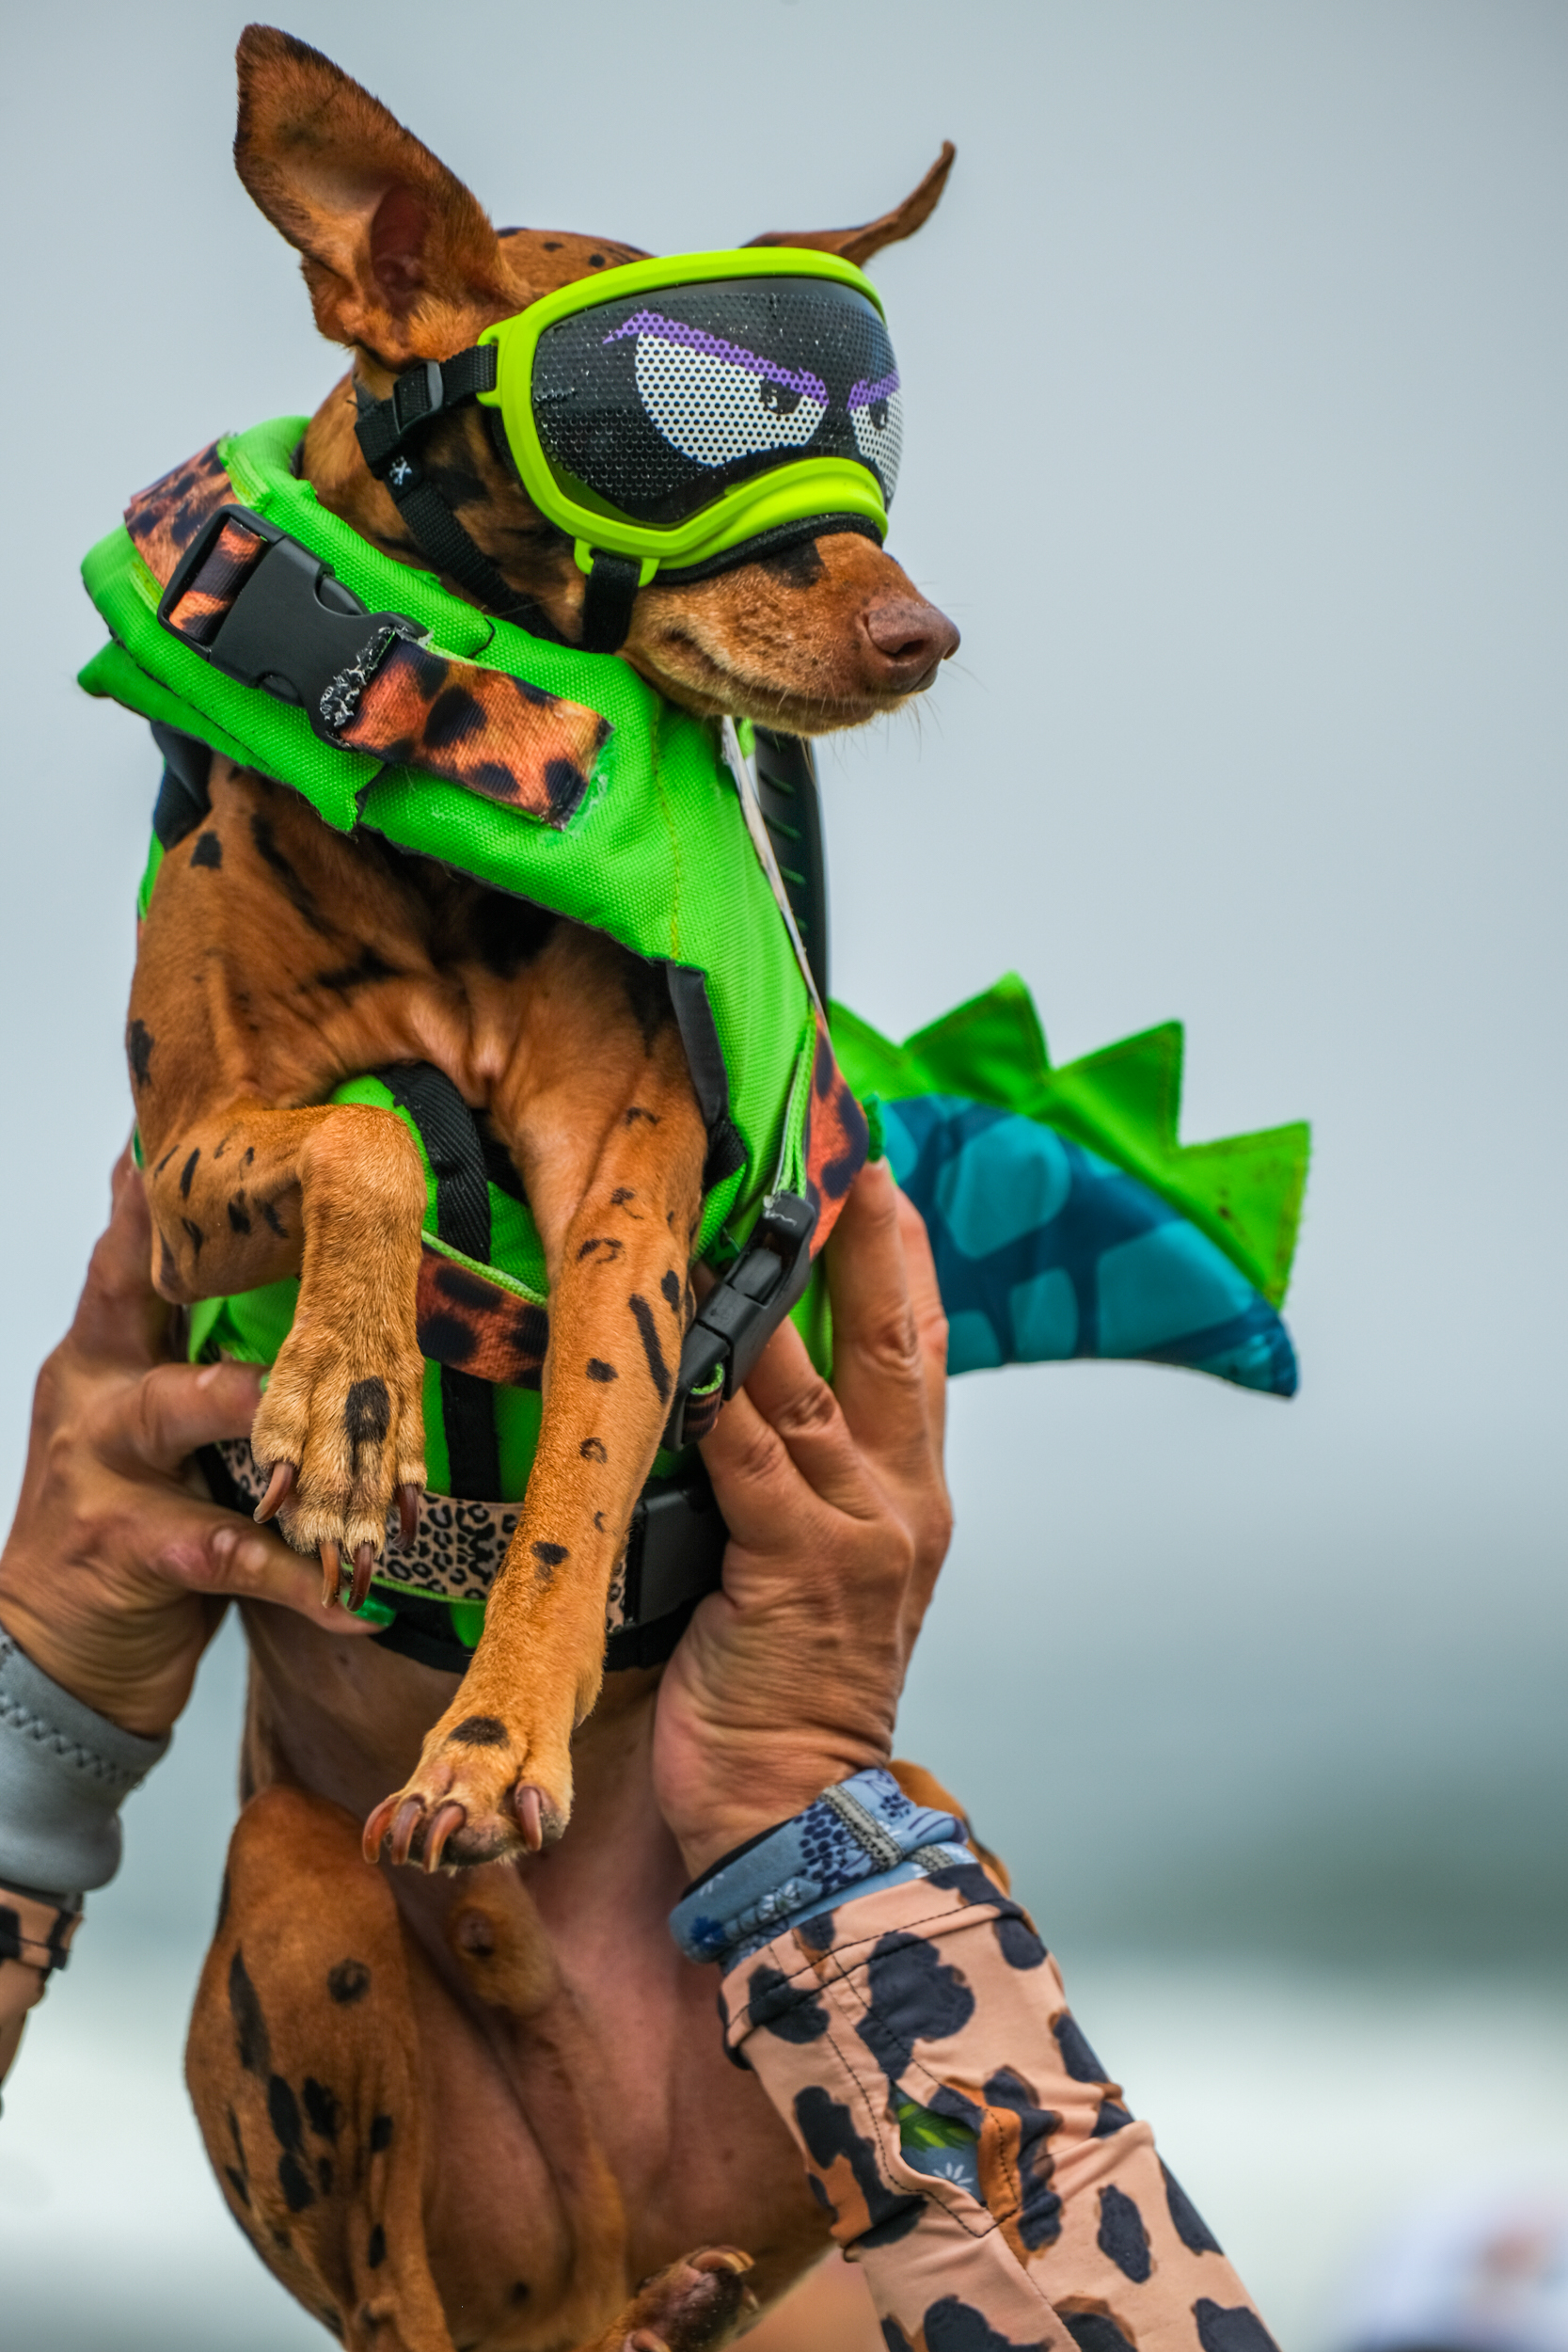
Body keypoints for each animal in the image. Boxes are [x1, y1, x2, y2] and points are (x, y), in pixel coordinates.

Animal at [135, 23, 963, 1891]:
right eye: (678, 429)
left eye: (866, 430)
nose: (921, 633)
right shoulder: (175, 1168)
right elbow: (360, 1134)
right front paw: (345, 1401)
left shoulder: (624, 1198)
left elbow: (580, 1461)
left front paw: (494, 1730)